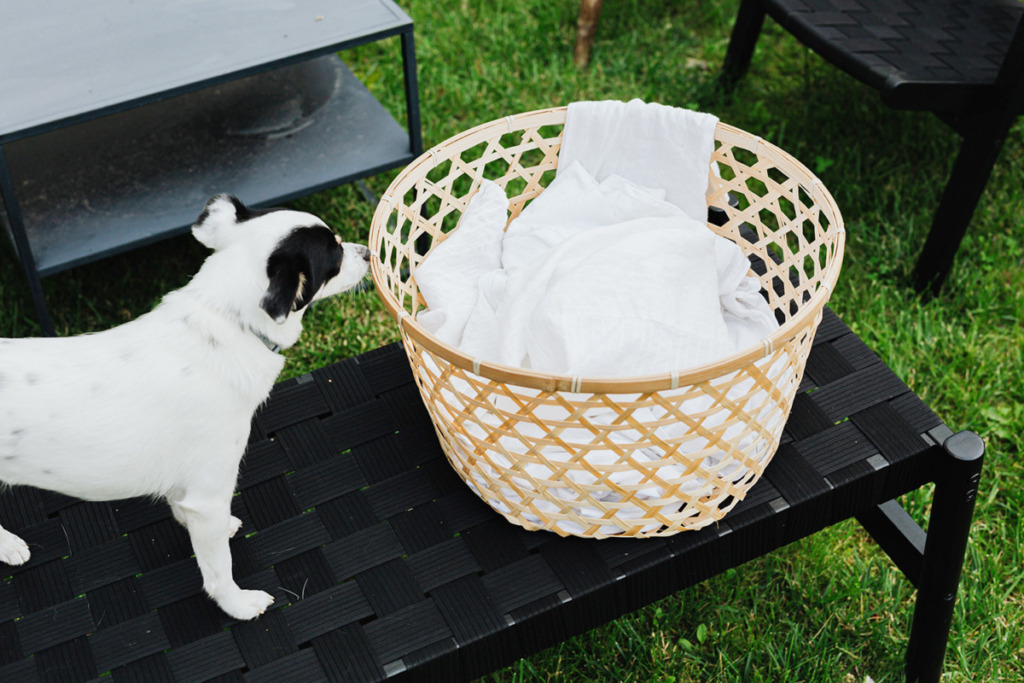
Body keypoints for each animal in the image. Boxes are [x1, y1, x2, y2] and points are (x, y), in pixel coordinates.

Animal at [0, 194, 372, 622]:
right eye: (335, 255)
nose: (368, 251)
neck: (228, 323)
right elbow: (218, 570)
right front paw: (238, 605)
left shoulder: (192, 492)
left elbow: (182, 507)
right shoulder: (210, 494)